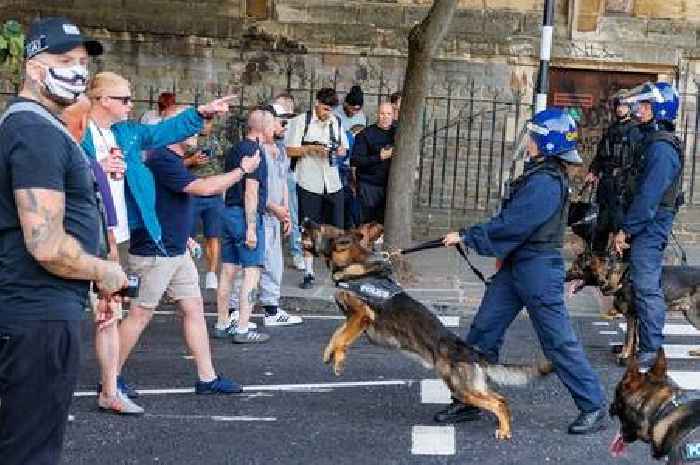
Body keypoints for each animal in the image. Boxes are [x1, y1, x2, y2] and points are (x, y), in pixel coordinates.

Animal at [300, 220, 552, 438]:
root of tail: (470, 351)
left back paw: (504, 430)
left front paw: (336, 359)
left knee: (497, 402)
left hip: (462, 388)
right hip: (469, 388)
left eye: (321, 226)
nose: (305, 220)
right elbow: (337, 336)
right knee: (501, 398)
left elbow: (341, 338)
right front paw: (333, 357)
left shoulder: (361, 316)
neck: (355, 268)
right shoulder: (352, 319)